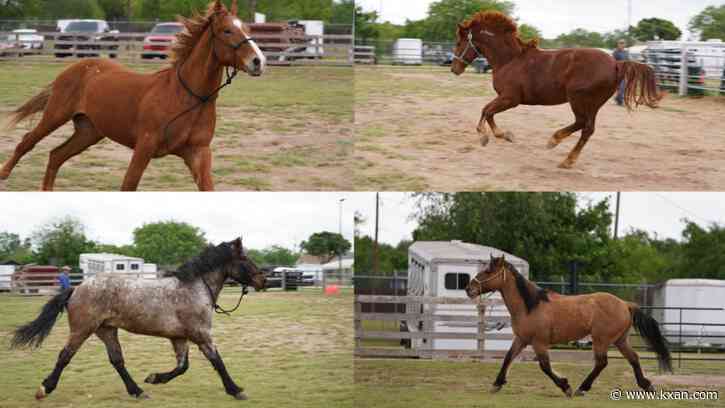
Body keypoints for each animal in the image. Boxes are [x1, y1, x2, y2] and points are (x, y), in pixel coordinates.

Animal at [0, 0, 266, 191]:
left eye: (247, 28)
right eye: (227, 30)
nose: (258, 61)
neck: (186, 98)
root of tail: (77, 66)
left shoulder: (198, 153)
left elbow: (208, 188)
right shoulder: (144, 146)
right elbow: (128, 185)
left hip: (88, 131)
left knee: (56, 156)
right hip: (55, 115)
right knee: (27, 142)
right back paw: (4, 174)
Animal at [10, 237, 267, 401]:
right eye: (245, 259)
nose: (263, 280)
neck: (194, 288)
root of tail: (76, 288)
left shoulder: (179, 337)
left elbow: (182, 366)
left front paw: (154, 378)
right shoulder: (201, 335)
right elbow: (218, 362)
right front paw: (236, 390)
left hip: (107, 330)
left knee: (117, 361)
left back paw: (138, 391)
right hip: (82, 330)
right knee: (65, 356)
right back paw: (44, 389)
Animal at [451, 11, 662, 169]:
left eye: (459, 43)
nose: (454, 69)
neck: (510, 60)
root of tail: (616, 63)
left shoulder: (510, 98)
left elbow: (486, 110)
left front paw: (487, 136)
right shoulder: (506, 99)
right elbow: (489, 112)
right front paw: (504, 135)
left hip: (579, 99)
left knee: (583, 124)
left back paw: (556, 144)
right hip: (593, 104)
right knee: (587, 128)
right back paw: (566, 157)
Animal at [466, 255, 671, 397]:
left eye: (488, 271)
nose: (469, 288)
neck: (530, 305)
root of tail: (625, 304)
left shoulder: (539, 343)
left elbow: (545, 366)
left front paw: (565, 386)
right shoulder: (522, 340)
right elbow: (508, 358)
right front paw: (497, 384)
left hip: (601, 340)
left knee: (602, 362)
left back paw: (582, 388)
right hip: (620, 340)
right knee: (633, 358)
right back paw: (647, 385)